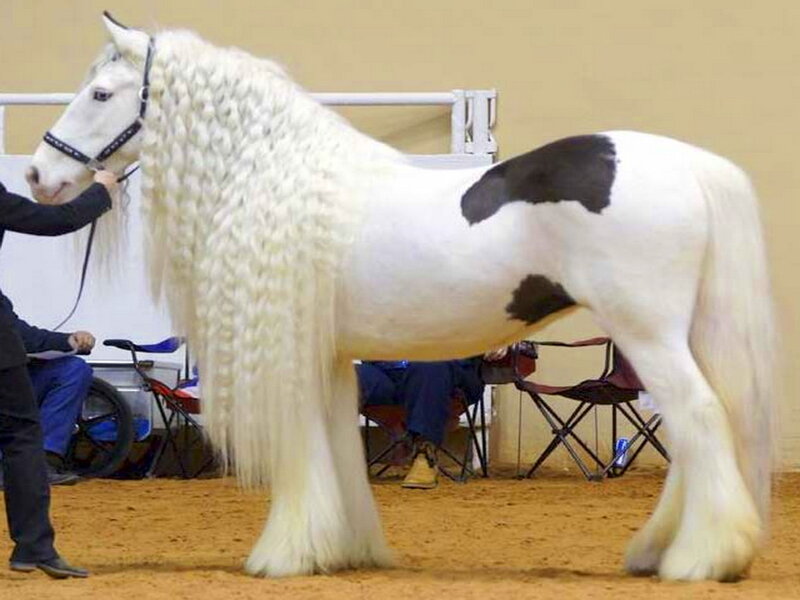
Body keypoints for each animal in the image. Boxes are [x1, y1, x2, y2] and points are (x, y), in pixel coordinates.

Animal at [26, 13, 776, 582]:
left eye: (100, 94)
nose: (37, 174)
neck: (274, 172)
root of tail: (689, 164)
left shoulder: (287, 351)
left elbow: (304, 450)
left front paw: (283, 555)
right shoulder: (331, 356)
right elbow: (337, 445)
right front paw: (341, 548)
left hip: (648, 334)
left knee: (700, 418)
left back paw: (701, 559)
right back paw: (664, 549)